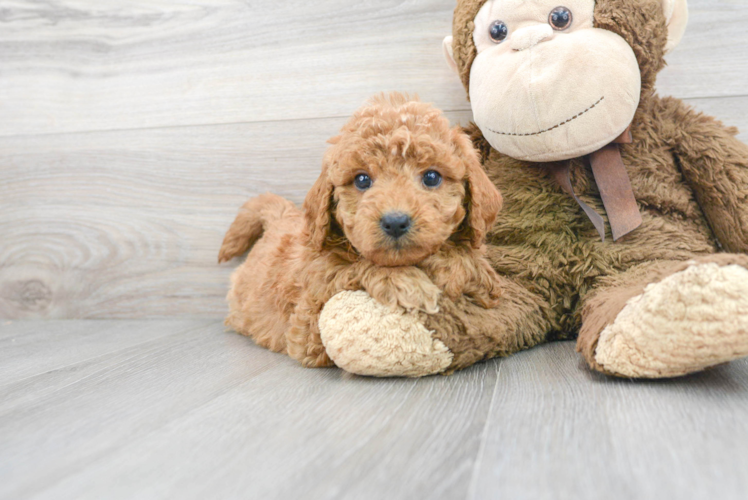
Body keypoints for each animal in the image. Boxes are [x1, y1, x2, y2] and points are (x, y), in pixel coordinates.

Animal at [219, 94, 506, 370]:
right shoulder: (307, 329)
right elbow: (352, 267)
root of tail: (280, 216)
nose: (395, 222)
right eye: (362, 180)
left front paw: (465, 267)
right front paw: (405, 282)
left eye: (432, 177)